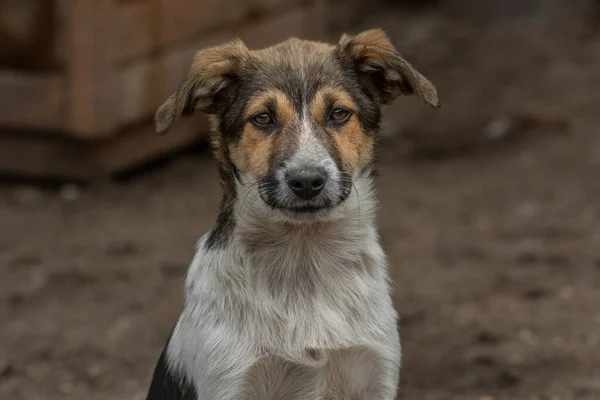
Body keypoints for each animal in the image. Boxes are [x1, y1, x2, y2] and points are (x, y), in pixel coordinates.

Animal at [145, 28, 436, 400]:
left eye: (338, 114)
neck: (304, 258)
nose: (307, 181)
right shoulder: (230, 381)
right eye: (263, 118)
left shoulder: (375, 374)